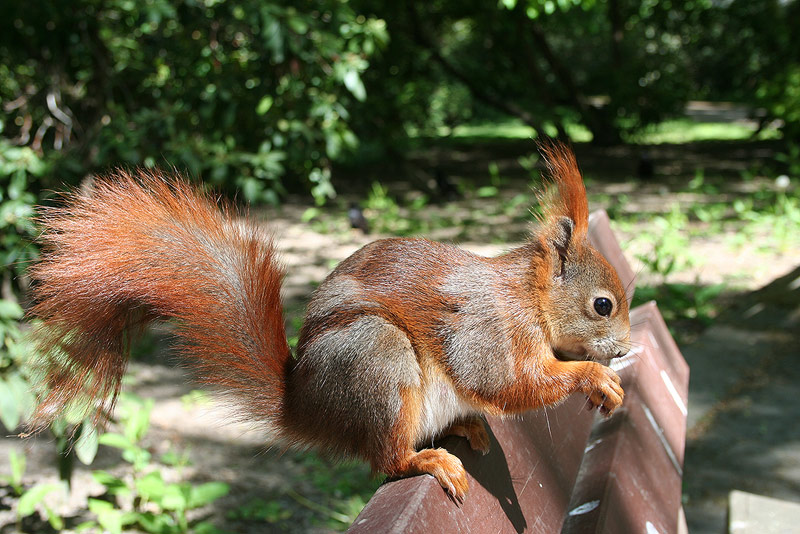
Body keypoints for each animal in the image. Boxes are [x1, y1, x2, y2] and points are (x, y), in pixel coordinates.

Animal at [28, 142, 632, 502]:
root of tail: (310, 409)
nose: (625, 349)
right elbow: (505, 381)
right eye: (602, 305)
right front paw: (592, 378)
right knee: (386, 458)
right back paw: (426, 459)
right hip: (377, 357)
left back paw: (464, 427)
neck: (530, 297)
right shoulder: (486, 326)